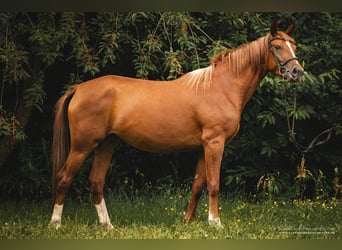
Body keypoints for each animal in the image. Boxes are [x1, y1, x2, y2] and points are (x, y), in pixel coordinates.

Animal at [50, 21, 302, 229]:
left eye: (294, 47)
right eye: (277, 47)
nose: (297, 71)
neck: (220, 87)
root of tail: (79, 88)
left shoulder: (203, 147)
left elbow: (198, 185)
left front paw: (188, 221)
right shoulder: (215, 143)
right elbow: (213, 183)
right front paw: (215, 223)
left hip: (106, 144)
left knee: (96, 181)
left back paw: (107, 226)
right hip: (82, 146)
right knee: (64, 178)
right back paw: (56, 224)